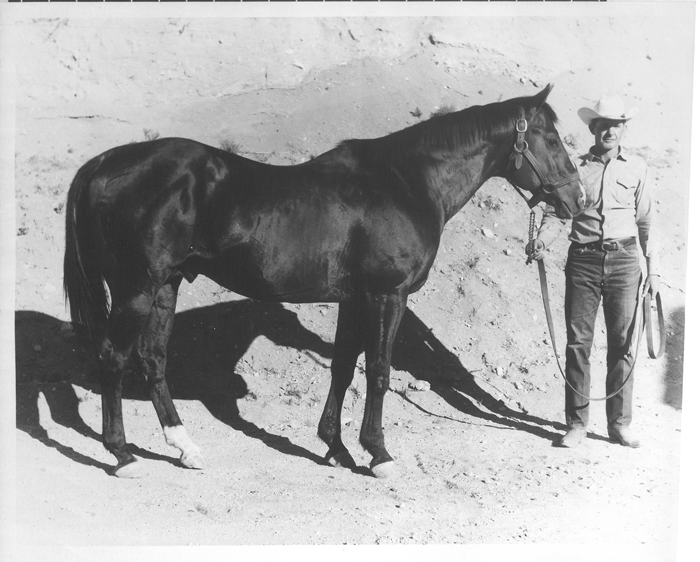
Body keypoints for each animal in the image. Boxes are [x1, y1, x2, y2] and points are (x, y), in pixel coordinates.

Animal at [63, 84, 585, 479]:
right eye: (551, 139)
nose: (578, 200)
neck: (406, 182)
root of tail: (104, 163)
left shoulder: (354, 300)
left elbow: (343, 368)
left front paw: (336, 448)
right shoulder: (387, 296)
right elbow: (378, 371)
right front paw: (379, 454)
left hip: (165, 287)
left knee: (152, 360)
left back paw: (185, 449)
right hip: (136, 290)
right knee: (114, 358)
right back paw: (123, 455)